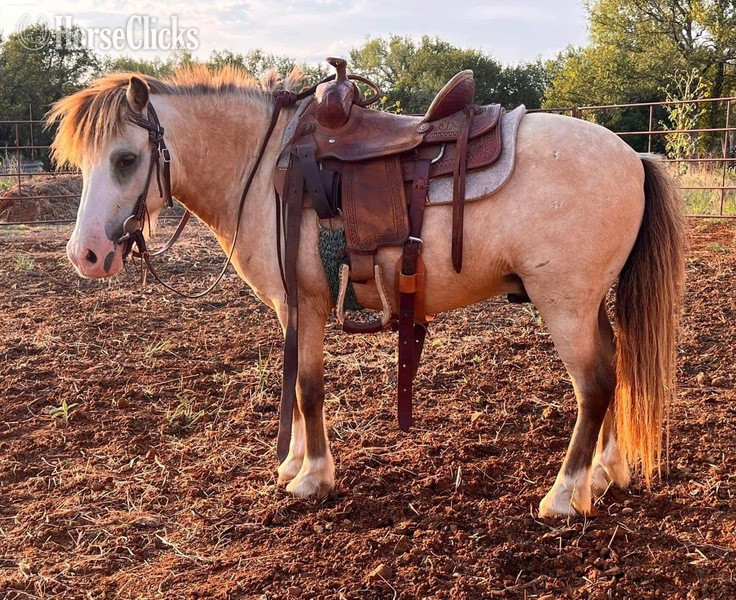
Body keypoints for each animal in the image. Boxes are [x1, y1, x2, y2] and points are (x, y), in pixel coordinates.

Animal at [47, 66, 686, 517]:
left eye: (125, 159)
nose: (86, 255)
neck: (267, 169)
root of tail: (634, 155)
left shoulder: (305, 303)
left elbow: (307, 388)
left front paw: (312, 477)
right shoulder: (291, 309)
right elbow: (296, 385)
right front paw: (294, 465)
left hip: (566, 306)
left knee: (595, 384)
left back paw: (564, 494)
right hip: (590, 304)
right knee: (615, 369)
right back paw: (605, 473)